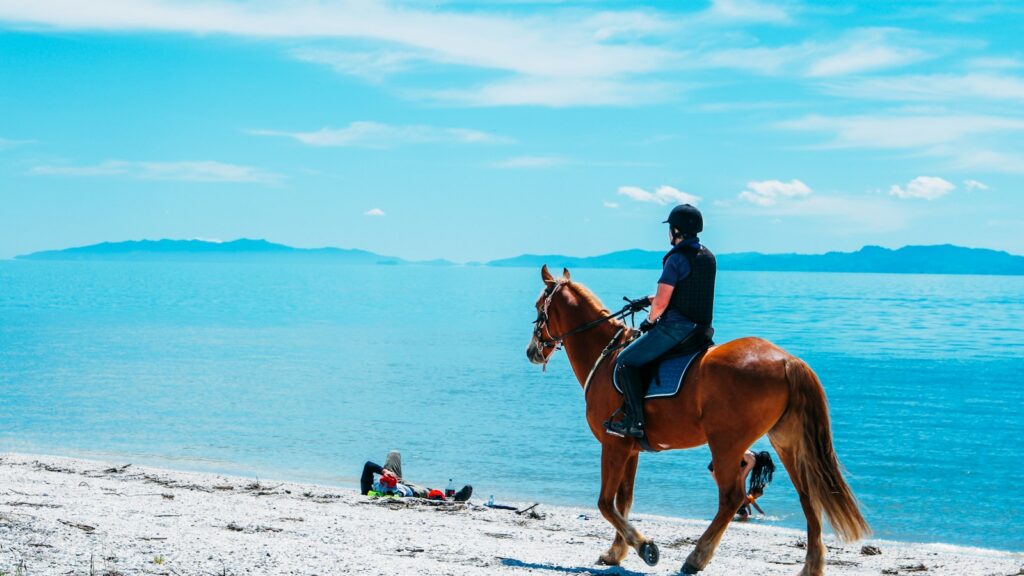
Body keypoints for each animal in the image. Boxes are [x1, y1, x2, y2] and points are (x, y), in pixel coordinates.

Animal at [525, 265, 869, 576]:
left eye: (539, 308)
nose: (532, 351)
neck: (607, 356)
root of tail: (787, 360)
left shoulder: (614, 445)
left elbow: (605, 503)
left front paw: (644, 547)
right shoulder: (630, 450)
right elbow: (624, 501)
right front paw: (616, 552)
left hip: (727, 445)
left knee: (732, 498)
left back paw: (696, 558)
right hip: (787, 442)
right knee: (807, 497)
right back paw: (812, 565)